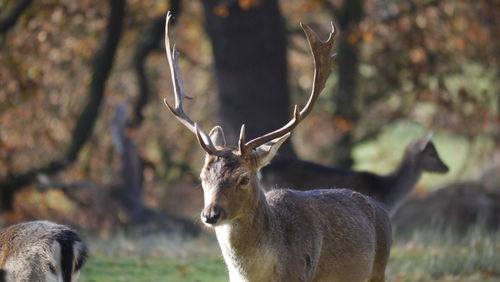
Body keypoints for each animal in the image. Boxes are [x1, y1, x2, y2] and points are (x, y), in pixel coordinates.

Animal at [163, 12, 390, 282]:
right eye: (201, 177)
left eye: (244, 179)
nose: (210, 215)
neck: (258, 275)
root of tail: (383, 209)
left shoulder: (300, 275)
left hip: (379, 269)